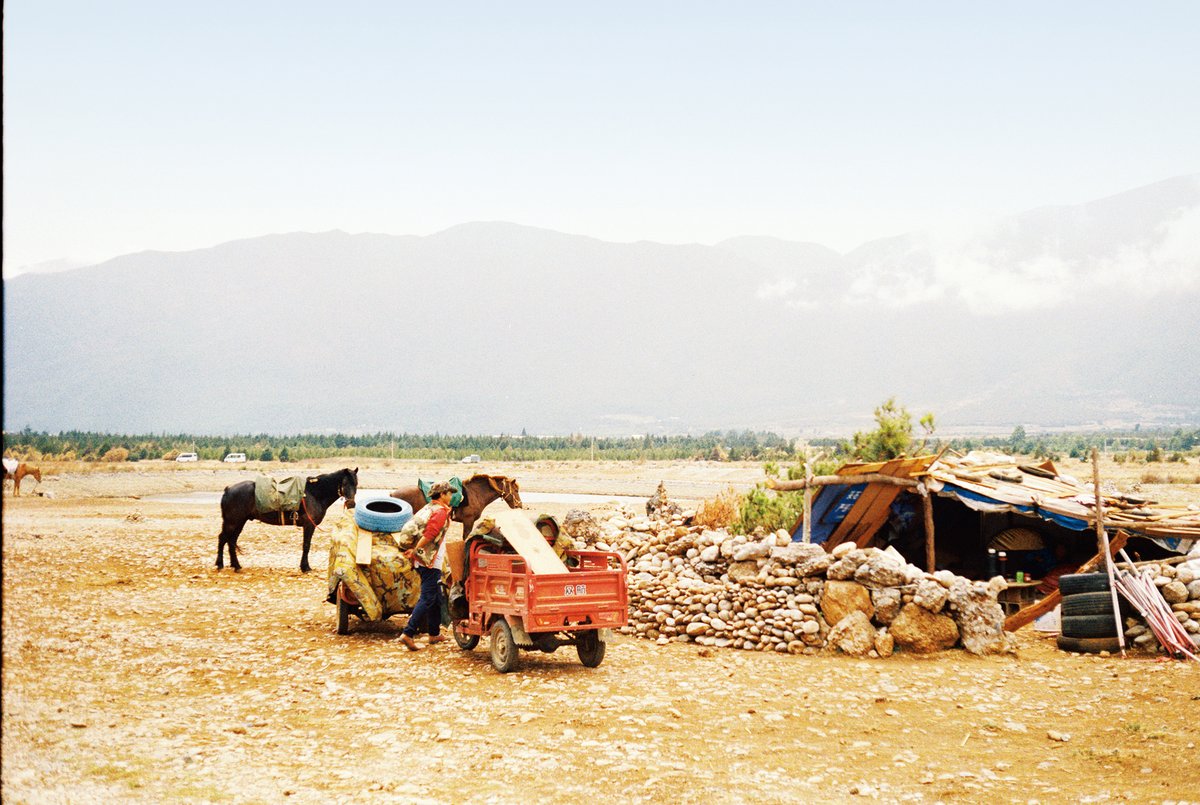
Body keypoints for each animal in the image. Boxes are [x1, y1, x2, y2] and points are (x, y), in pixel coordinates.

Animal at [217, 465, 357, 573]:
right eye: (344, 483)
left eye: (356, 483)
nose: (351, 504)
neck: (315, 494)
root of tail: (228, 489)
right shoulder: (309, 525)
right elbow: (306, 545)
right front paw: (305, 567)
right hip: (232, 522)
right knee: (223, 539)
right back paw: (221, 564)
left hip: (239, 522)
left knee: (231, 540)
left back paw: (235, 565)